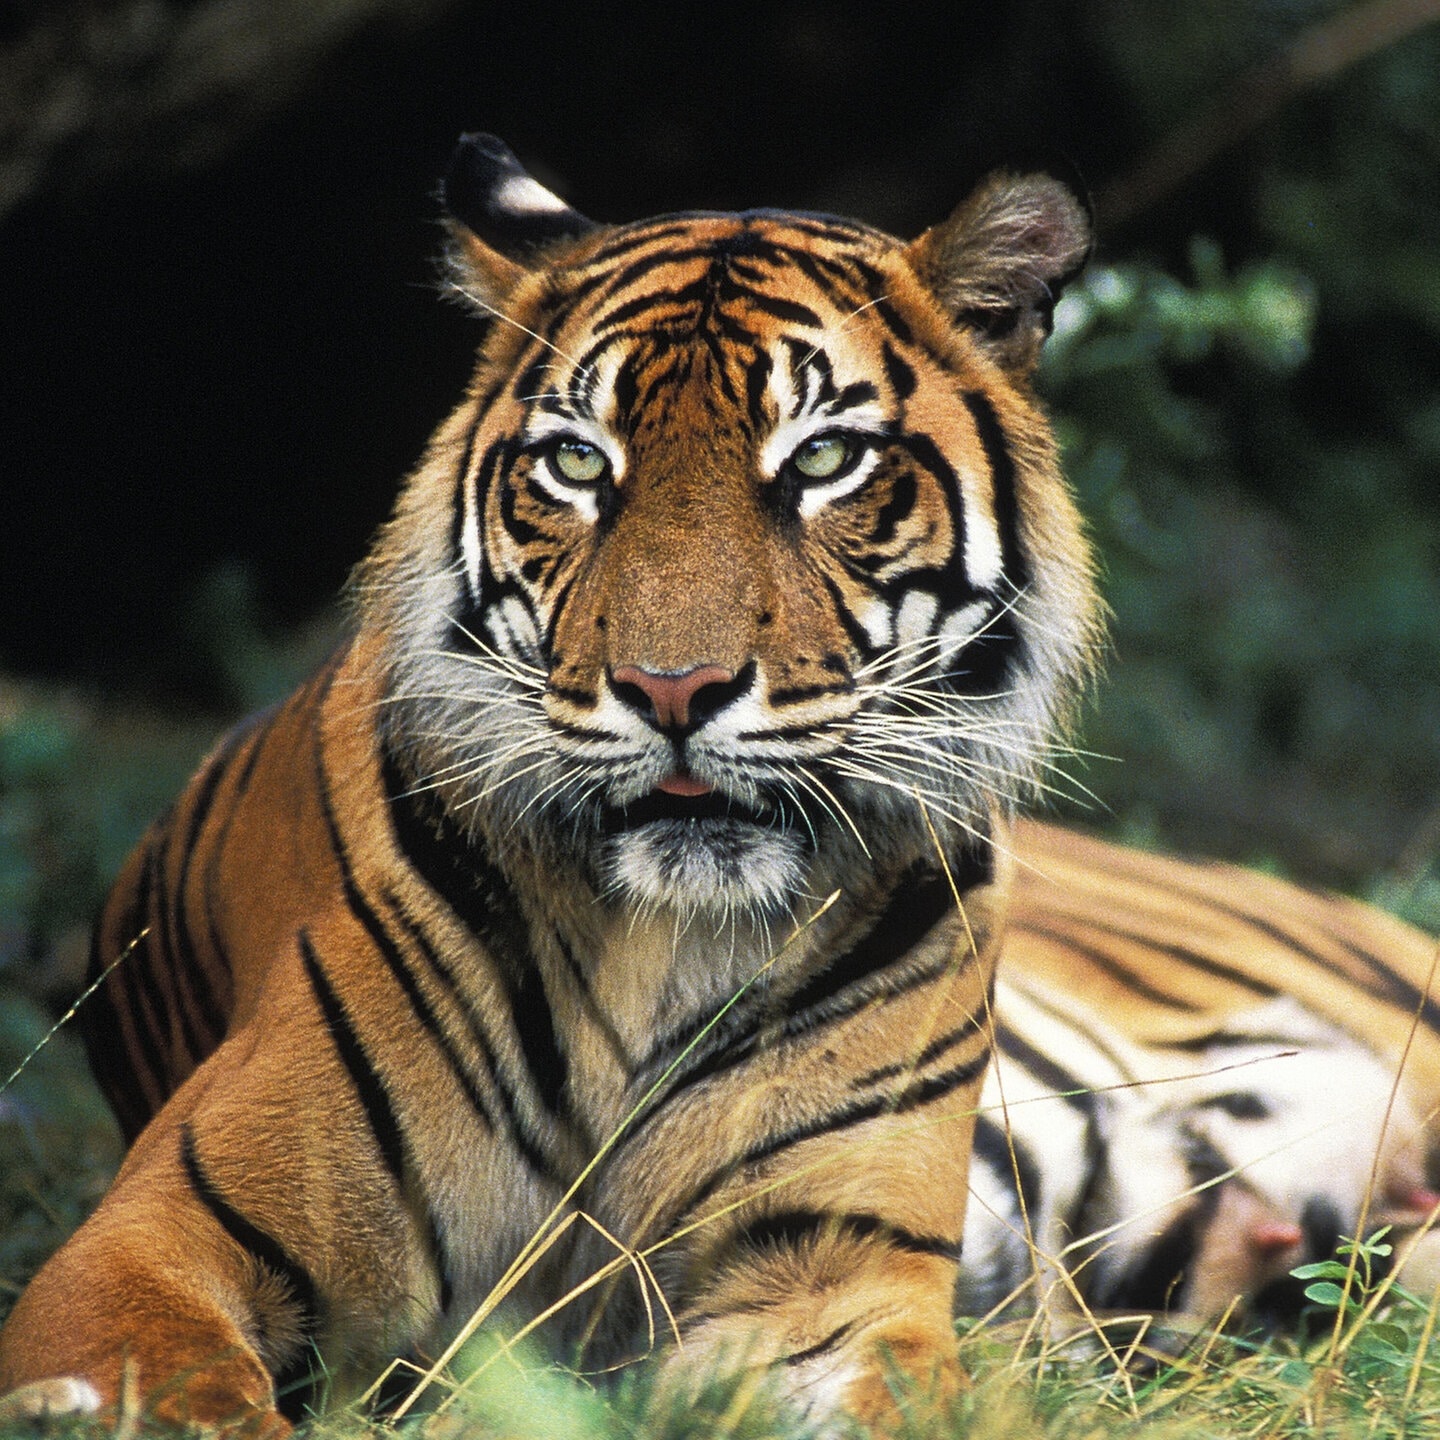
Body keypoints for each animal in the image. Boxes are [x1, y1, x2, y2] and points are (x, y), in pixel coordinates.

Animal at [0, 134, 1101, 1433]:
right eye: (579, 463)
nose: (672, 690)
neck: (668, 944)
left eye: (824, 459)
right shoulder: (152, 1238)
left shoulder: (833, 1282)